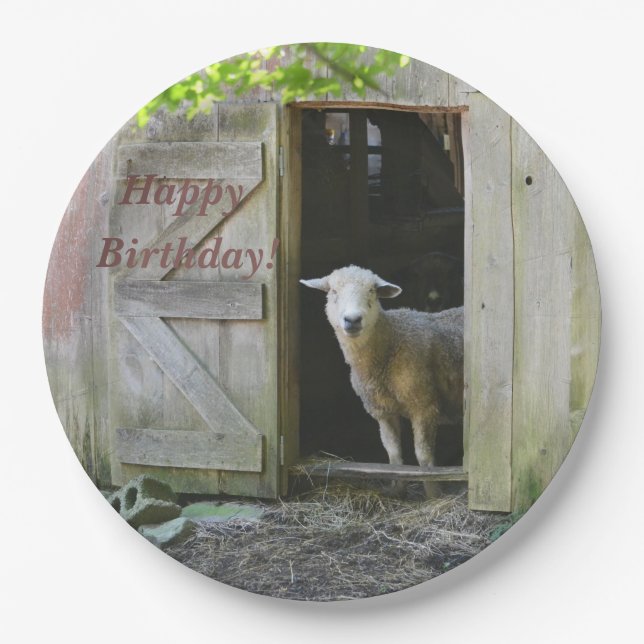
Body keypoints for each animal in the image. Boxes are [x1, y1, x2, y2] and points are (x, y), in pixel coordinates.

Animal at [300, 265, 463, 497]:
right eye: (333, 291)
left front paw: (434, 495)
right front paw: (397, 490)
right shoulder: (383, 411)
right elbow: (393, 454)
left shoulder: (424, 405)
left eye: (372, 290)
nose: (353, 319)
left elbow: (423, 456)